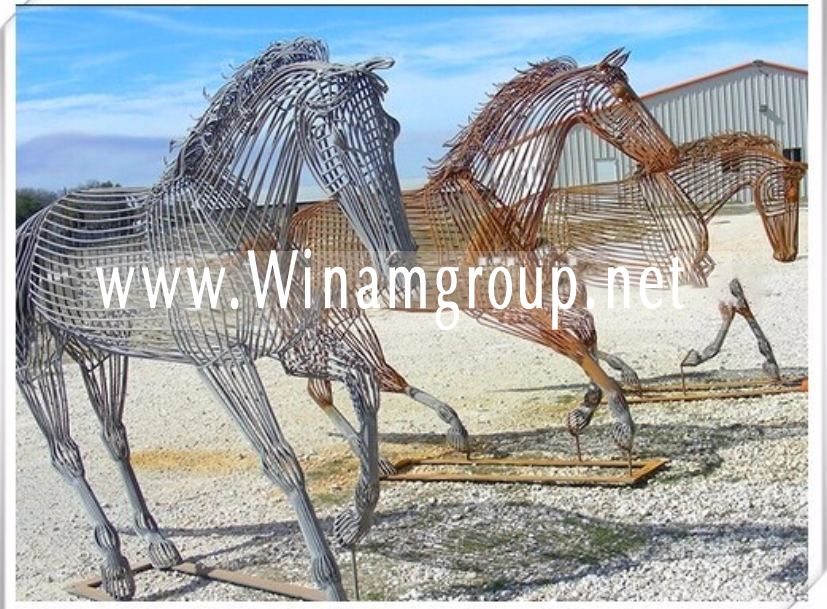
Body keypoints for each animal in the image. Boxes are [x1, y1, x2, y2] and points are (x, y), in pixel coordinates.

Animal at [16, 38, 416, 601]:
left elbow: (365, 393)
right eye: (333, 136)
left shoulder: (293, 350)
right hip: (39, 366)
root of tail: (32, 225)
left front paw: (353, 523)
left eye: (392, 127)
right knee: (65, 454)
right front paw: (328, 578)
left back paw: (158, 547)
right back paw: (115, 568)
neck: (236, 232)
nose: (399, 264)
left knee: (114, 437)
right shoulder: (224, 363)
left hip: (101, 355)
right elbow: (282, 462)